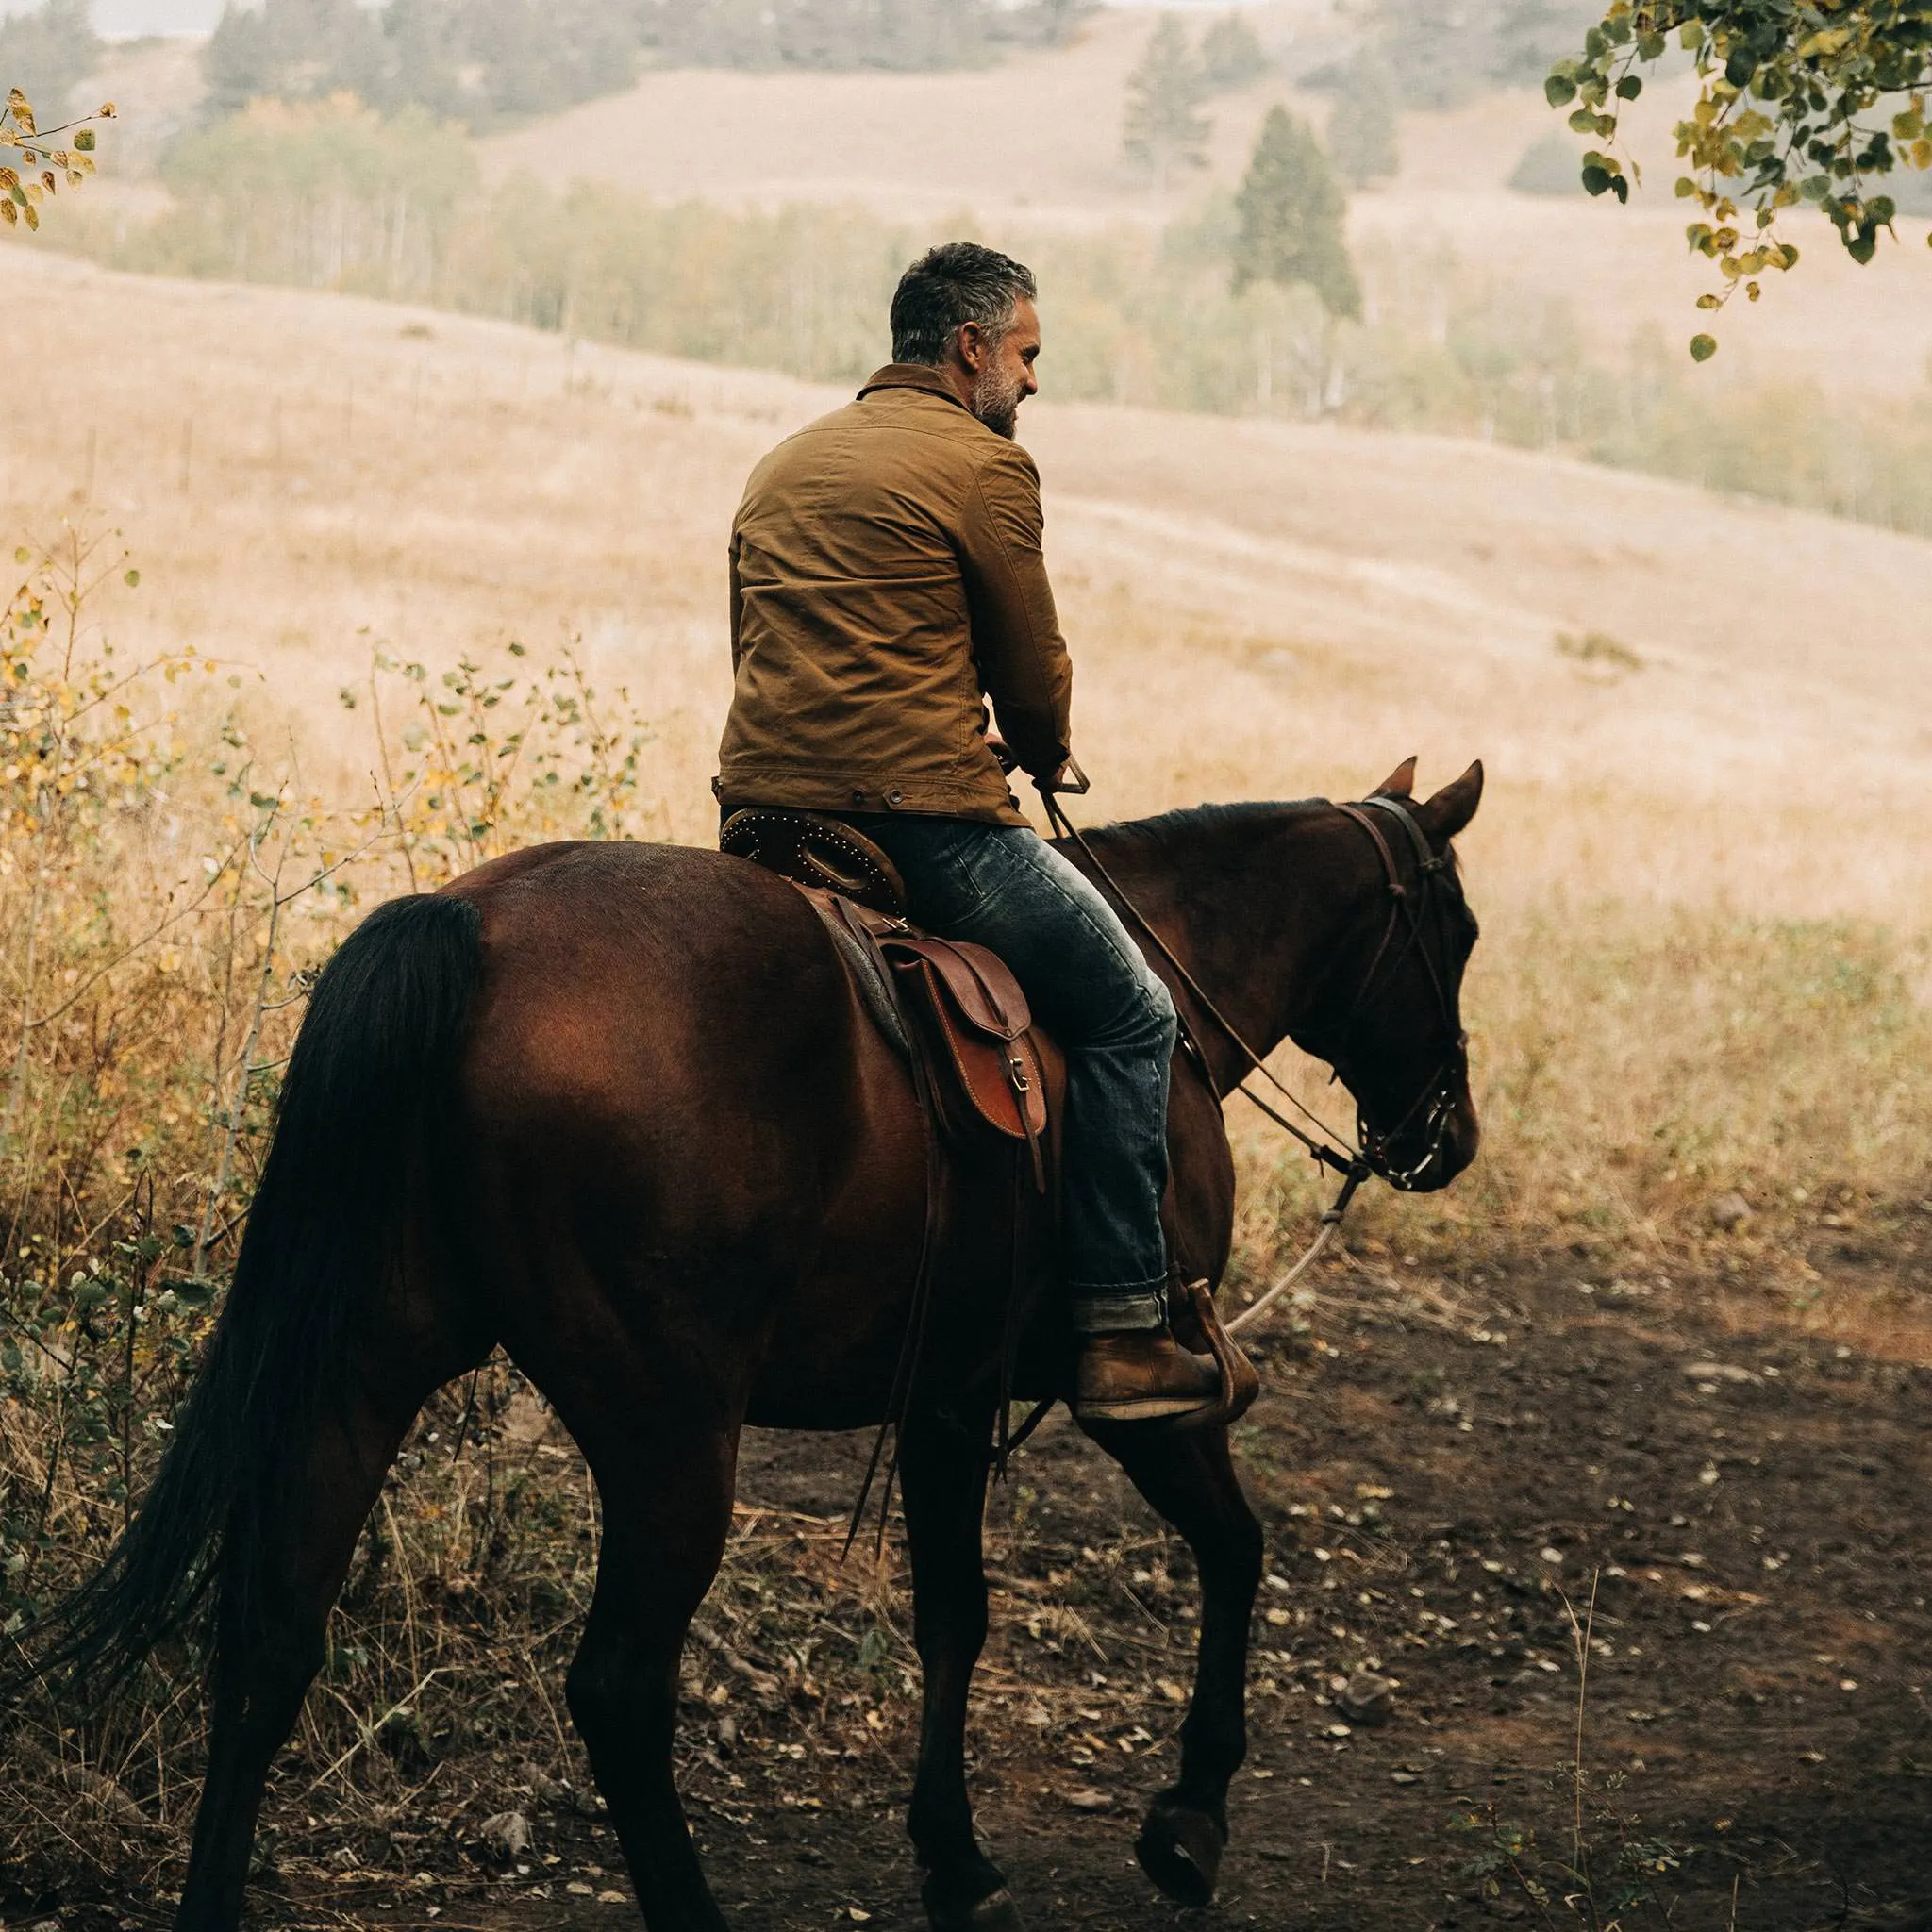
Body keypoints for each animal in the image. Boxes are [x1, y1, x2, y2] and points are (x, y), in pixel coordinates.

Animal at [23, 757, 1483, 1932]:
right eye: (1457, 932)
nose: (1448, 1136)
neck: (1168, 979)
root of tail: (470, 927)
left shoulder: (946, 1396)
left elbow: (953, 1614)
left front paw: (954, 1856)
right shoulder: (1145, 1394)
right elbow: (1235, 1550)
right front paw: (1188, 1819)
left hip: (362, 1373)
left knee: (269, 1636)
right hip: (669, 1432)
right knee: (616, 1689)